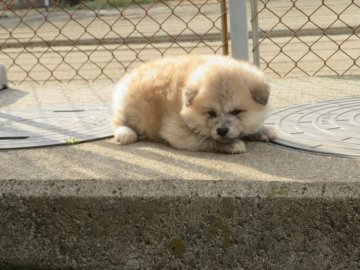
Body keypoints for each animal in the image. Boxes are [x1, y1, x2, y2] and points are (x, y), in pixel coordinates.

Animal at [112, 54, 276, 154]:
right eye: (210, 113)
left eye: (236, 112)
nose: (222, 131)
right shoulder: (177, 131)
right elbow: (207, 139)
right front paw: (232, 144)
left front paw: (261, 130)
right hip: (132, 109)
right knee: (119, 122)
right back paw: (126, 134)